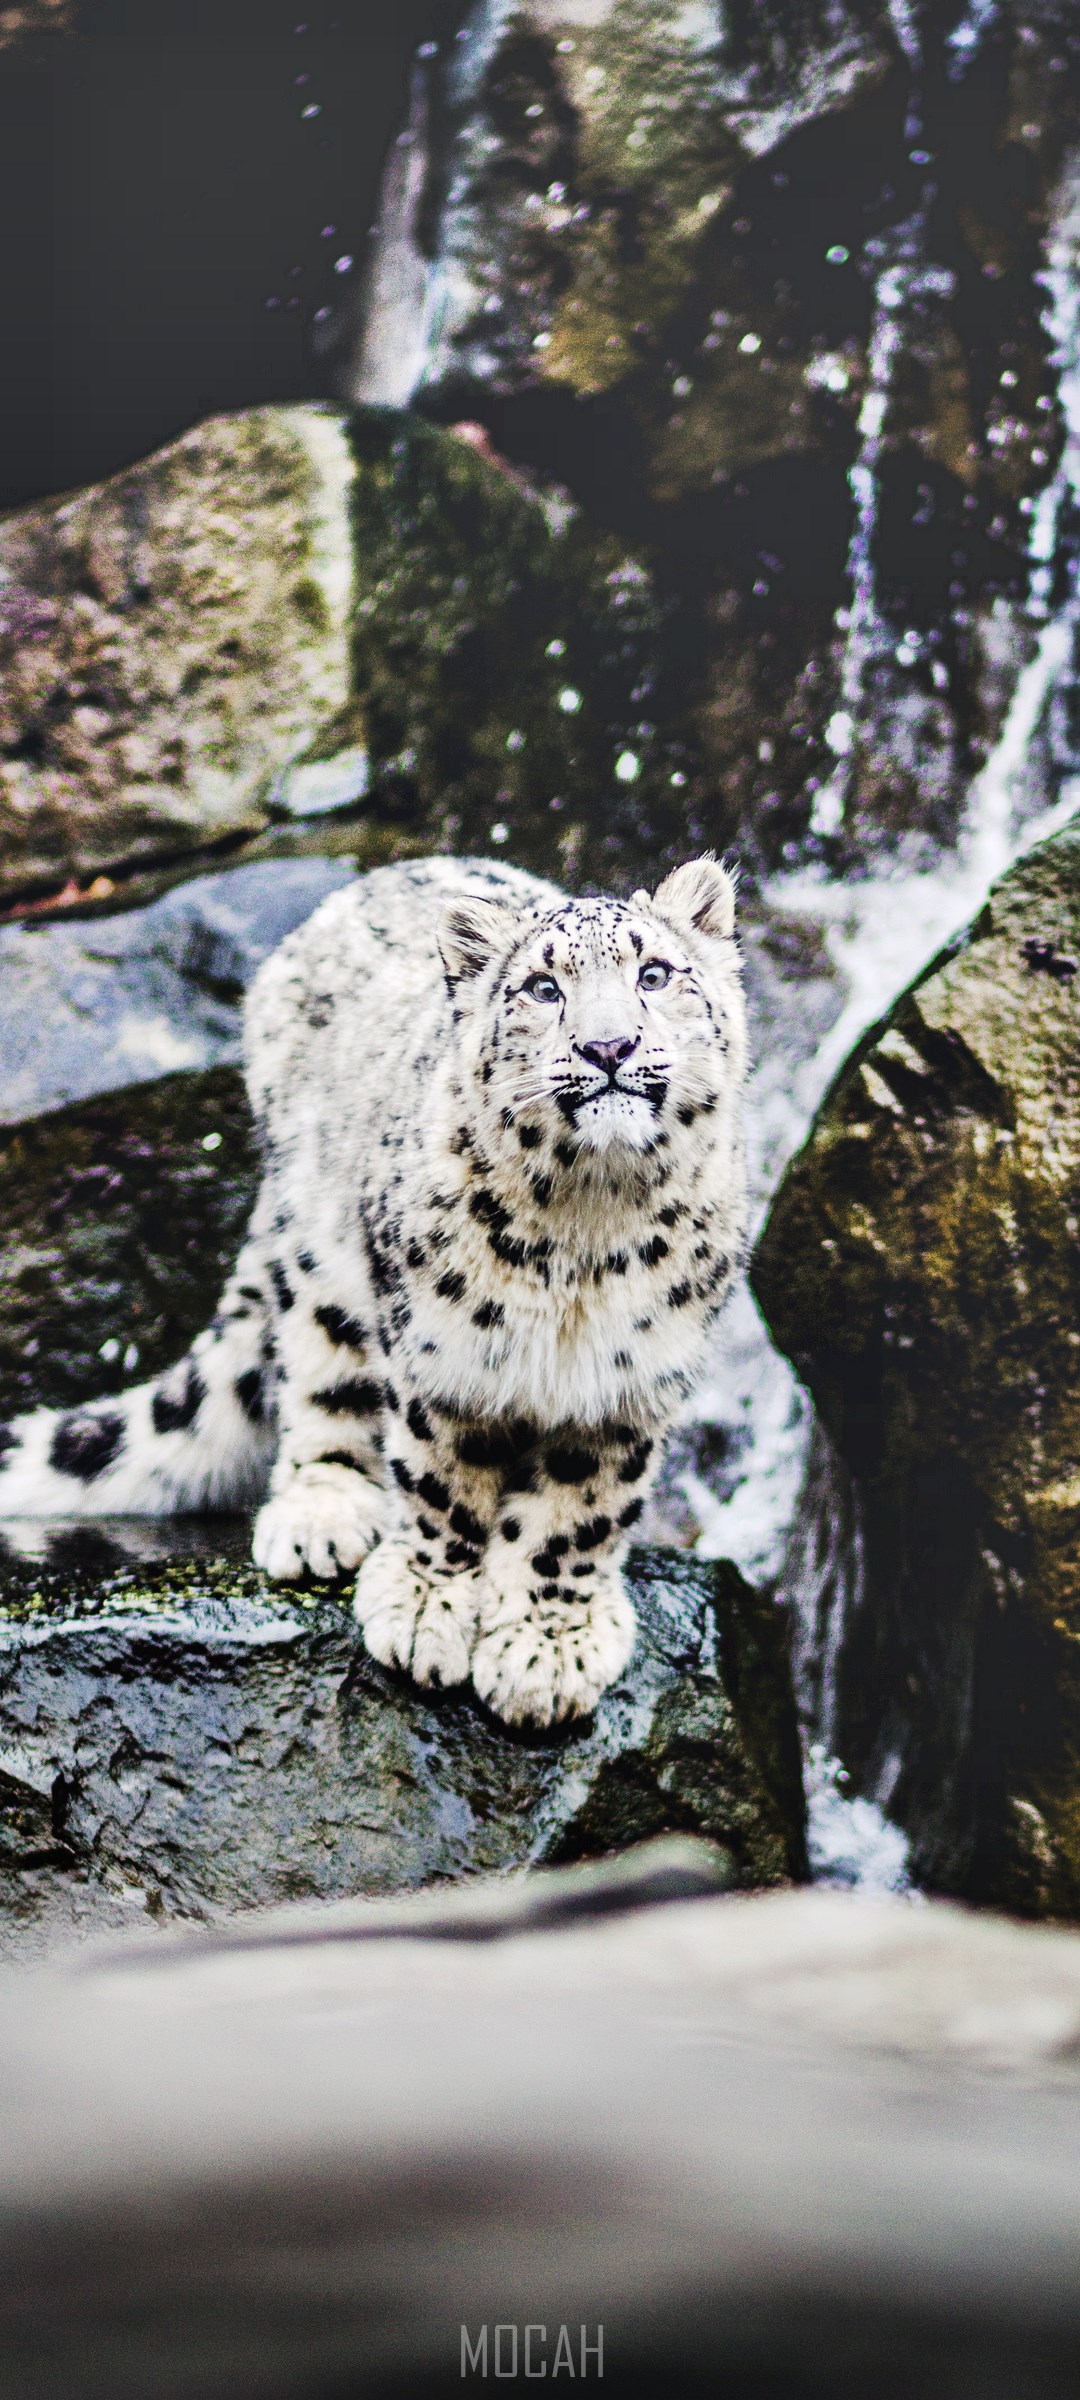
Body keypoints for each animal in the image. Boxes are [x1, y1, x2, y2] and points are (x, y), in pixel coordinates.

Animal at [0, 852, 747, 1726]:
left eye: (655, 974)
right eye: (542, 988)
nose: (609, 1045)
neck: (587, 1232)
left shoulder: (628, 1381)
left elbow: (580, 1513)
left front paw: (547, 1648)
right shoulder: (444, 1348)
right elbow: (442, 1476)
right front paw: (428, 1608)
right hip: (320, 1255)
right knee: (318, 1376)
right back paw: (320, 1514)